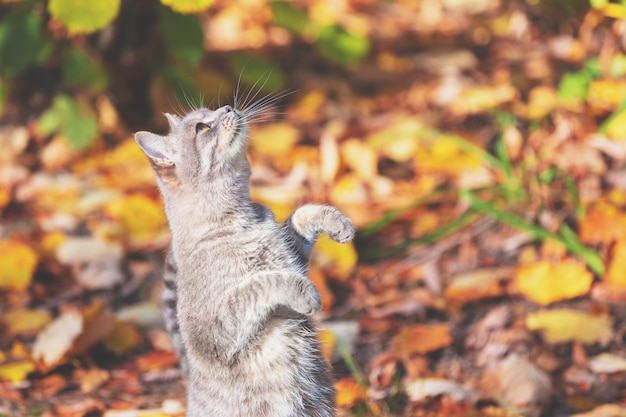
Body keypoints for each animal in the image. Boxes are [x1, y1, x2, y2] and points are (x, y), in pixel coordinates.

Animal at [135, 102, 354, 414]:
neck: (241, 220)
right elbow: (260, 283)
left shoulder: (291, 256)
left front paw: (336, 222)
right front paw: (305, 293)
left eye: (211, 110)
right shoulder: (218, 329)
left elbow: (300, 214)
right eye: (202, 127)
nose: (228, 106)